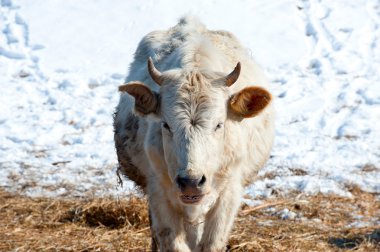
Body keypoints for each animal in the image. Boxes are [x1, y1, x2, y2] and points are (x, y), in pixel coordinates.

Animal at [113, 16, 274, 251]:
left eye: (219, 125)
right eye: (166, 125)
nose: (191, 181)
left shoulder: (229, 194)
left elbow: (212, 242)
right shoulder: (159, 194)